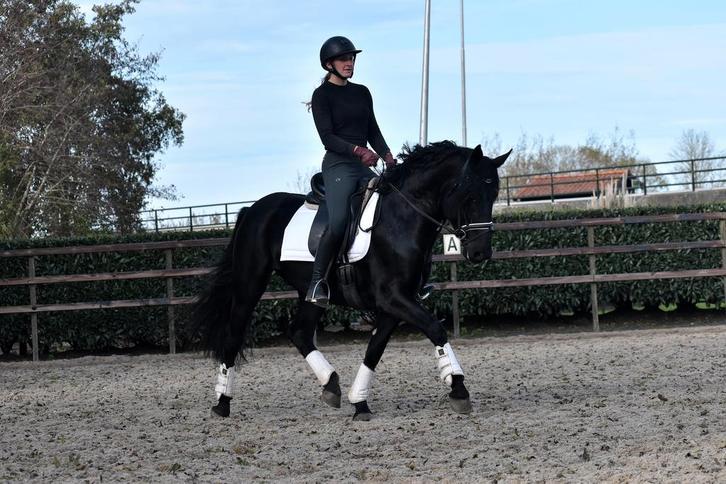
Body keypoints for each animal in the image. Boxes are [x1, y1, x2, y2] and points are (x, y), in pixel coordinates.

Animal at [193, 141, 510, 420]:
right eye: (470, 194)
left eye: (494, 194)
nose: (481, 253)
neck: (402, 219)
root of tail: (253, 210)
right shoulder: (394, 298)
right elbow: (436, 329)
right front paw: (458, 389)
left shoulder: (395, 304)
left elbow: (375, 349)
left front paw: (360, 403)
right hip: (250, 285)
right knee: (234, 334)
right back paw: (222, 403)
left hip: (312, 292)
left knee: (300, 332)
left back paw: (331, 385)